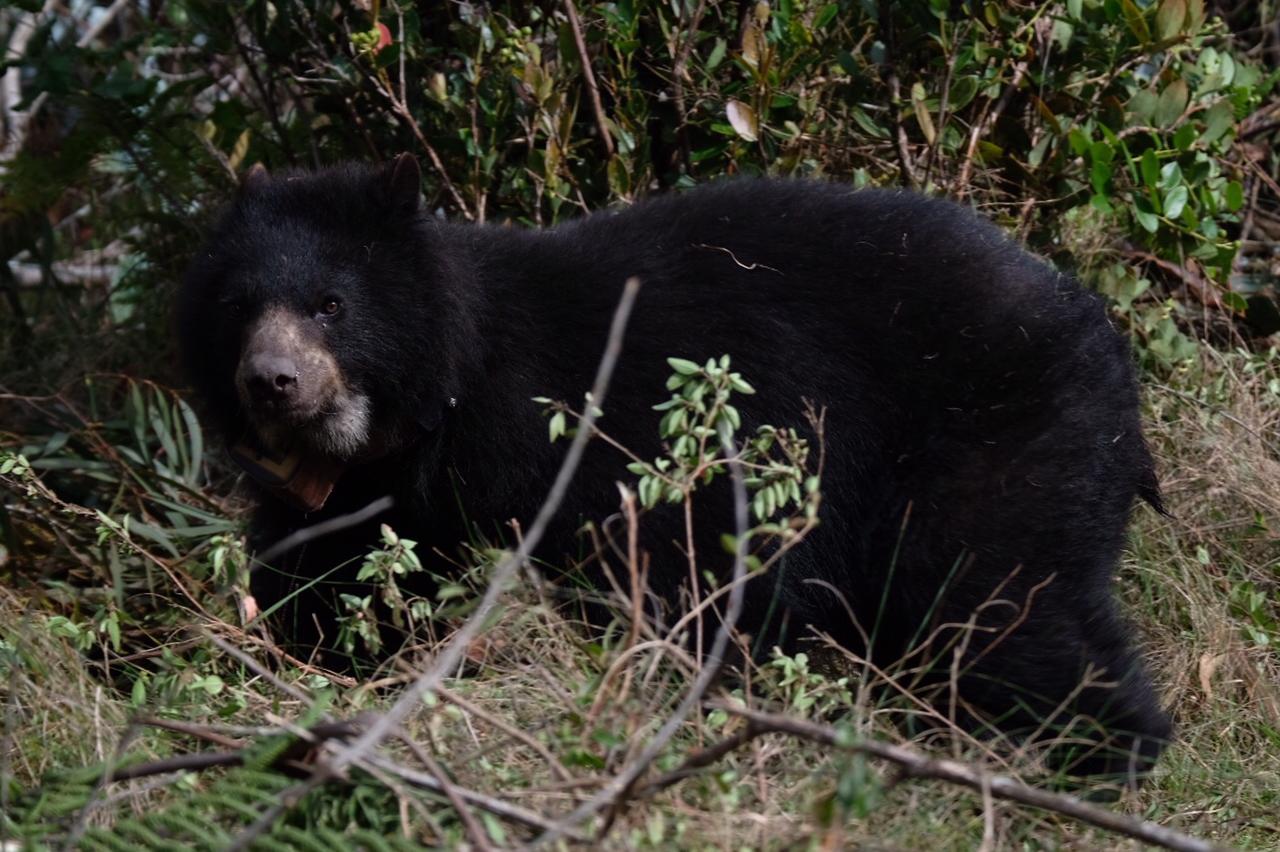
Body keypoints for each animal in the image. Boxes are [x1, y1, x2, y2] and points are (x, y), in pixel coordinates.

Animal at [177, 154, 1172, 782]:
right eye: (237, 307)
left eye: (330, 304)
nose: (272, 381)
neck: (424, 409)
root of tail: (1102, 338)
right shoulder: (367, 495)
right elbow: (330, 578)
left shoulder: (563, 443)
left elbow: (676, 570)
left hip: (993, 441)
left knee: (1000, 601)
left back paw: (1106, 753)